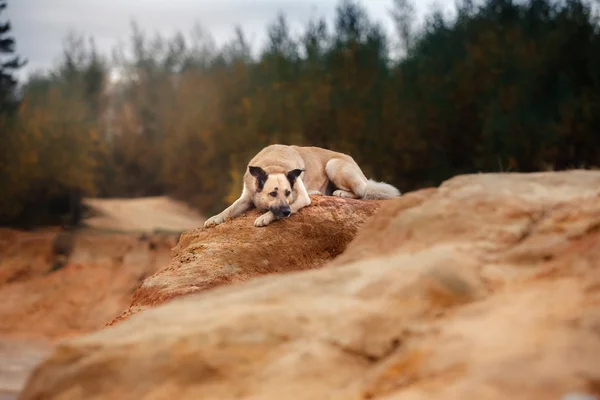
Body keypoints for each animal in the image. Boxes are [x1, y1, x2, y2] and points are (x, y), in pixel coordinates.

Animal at [204, 145, 400, 228]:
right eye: (273, 193)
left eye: (288, 192)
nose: (286, 212)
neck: (273, 165)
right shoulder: (246, 198)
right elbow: (229, 209)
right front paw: (215, 218)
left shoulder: (302, 198)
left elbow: (276, 212)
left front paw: (264, 218)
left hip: (333, 165)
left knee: (361, 191)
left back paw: (341, 193)